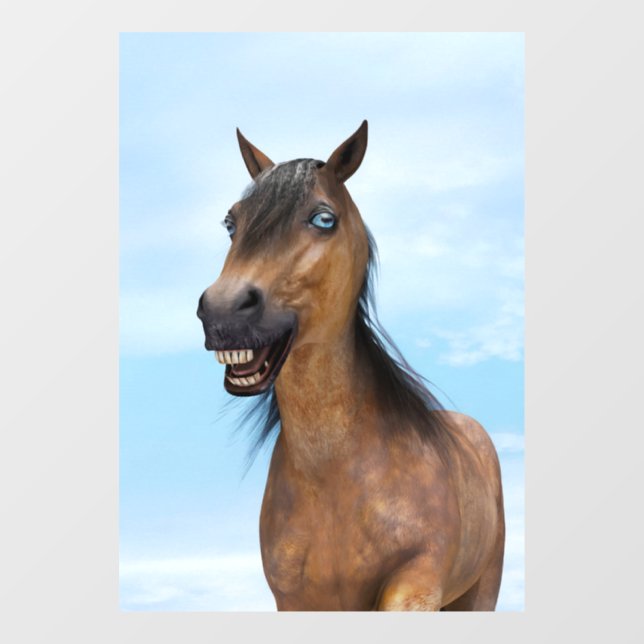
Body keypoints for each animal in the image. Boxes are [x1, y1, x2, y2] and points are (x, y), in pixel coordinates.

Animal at [197, 121, 505, 611]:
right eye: (231, 223)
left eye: (324, 219)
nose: (223, 313)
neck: (333, 474)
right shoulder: (295, 601)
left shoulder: (413, 587)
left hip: (479, 592)